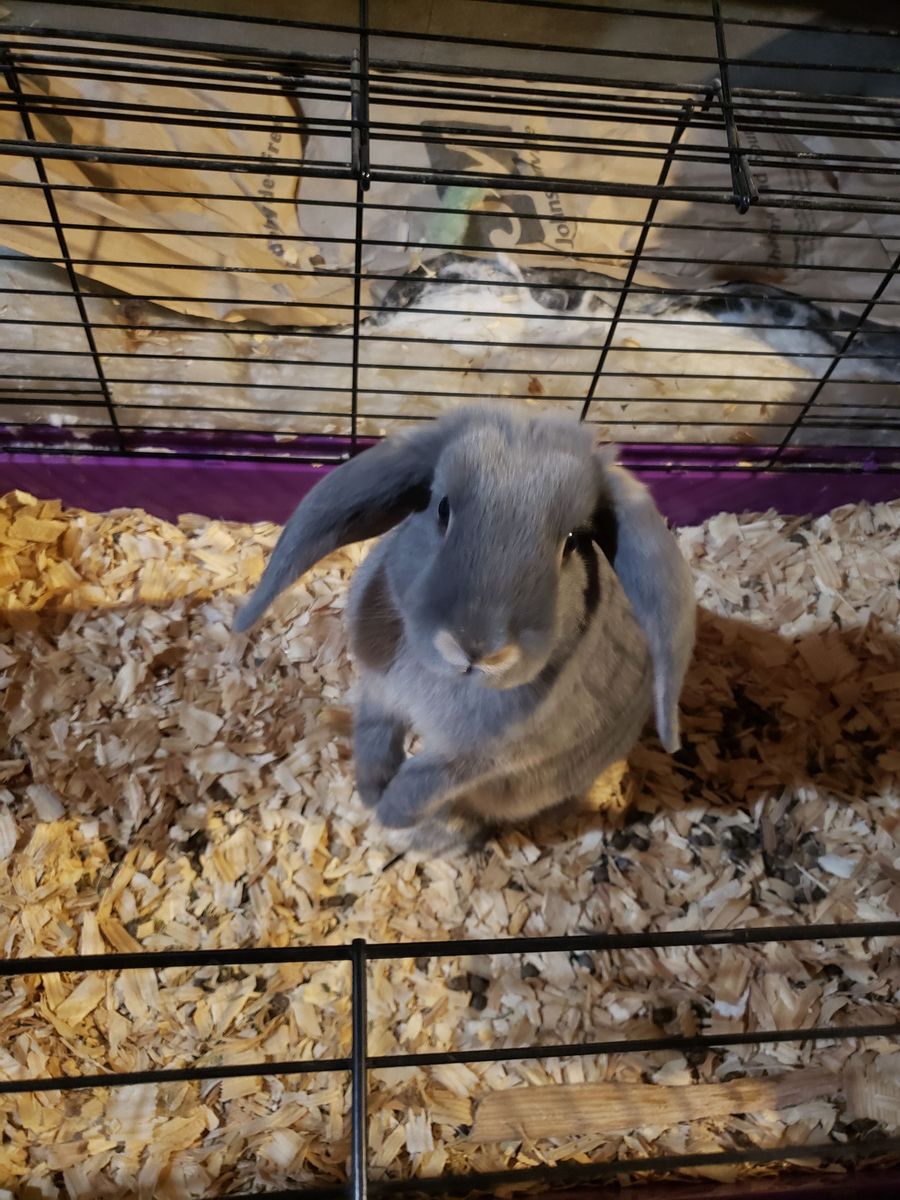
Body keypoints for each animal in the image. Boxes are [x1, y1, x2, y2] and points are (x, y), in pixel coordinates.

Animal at [234, 405, 696, 854]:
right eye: (442, 508)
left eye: (572, 541)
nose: (476, 648)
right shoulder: (379, 694)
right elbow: (373, 736)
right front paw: (370, 791)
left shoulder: (481, 758)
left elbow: (424, 781)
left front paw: (390, 812)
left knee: (476, 813)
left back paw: (431, 842)